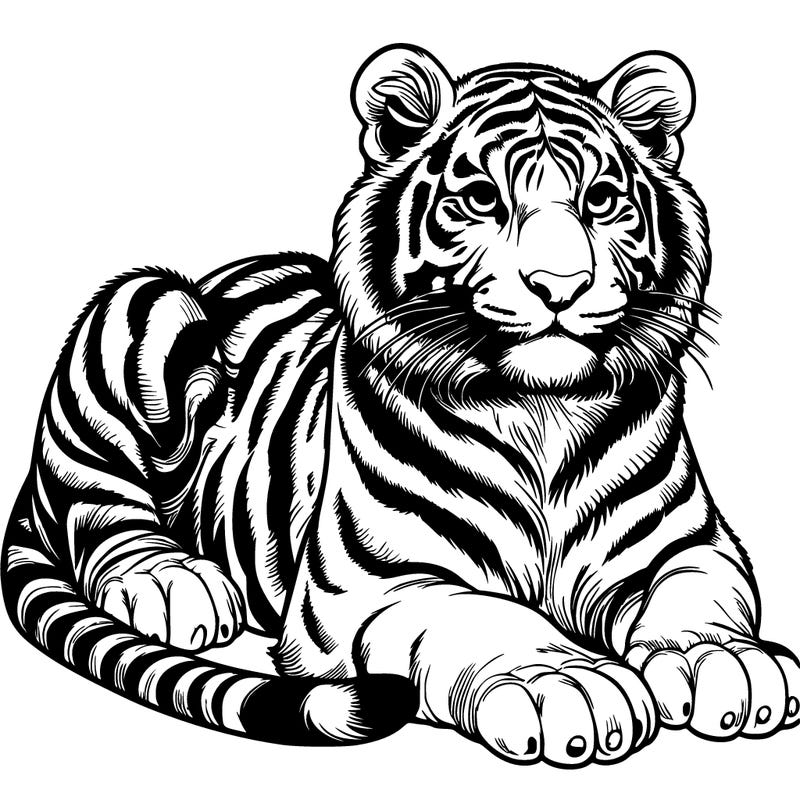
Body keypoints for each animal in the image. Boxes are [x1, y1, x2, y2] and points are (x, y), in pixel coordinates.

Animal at [3, 43, 799, 768]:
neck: (543, 410)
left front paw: (727, 664)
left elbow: (697, 595)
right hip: (141, 304)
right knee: (93, 510)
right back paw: (177, 586)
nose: (560, 284)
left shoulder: (688, 544)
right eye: (482, 200)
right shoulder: (376, 584)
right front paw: (563, 683)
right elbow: (483, 615)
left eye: (600, 201)